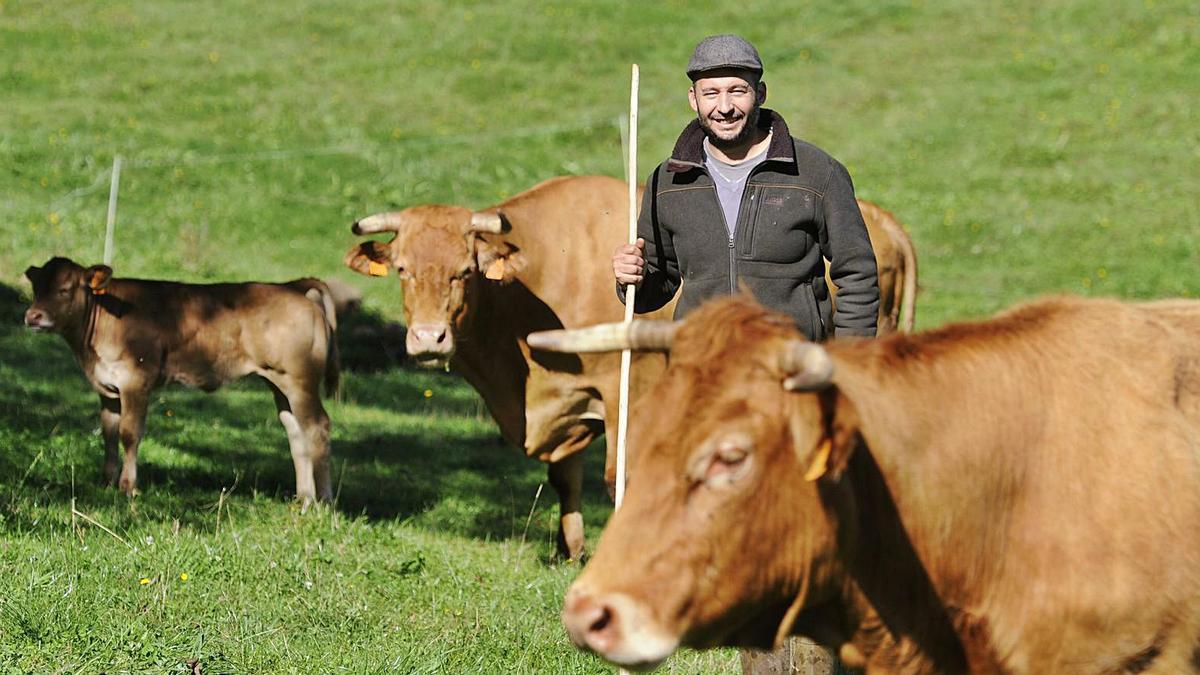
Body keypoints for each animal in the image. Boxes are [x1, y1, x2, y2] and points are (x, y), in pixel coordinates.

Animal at [24, 257, 343, 504]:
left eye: (65, 289)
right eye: (36, 288)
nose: (32, 316)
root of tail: (291, 286)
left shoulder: (136, 380)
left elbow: (129, 433)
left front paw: (128, 487)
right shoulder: (108, 389)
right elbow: (109, 433)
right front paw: (106, 483)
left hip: (301, 380)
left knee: (317, 427)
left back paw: (323, 502)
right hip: (279, 383)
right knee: (296, 431)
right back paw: (304, 499)